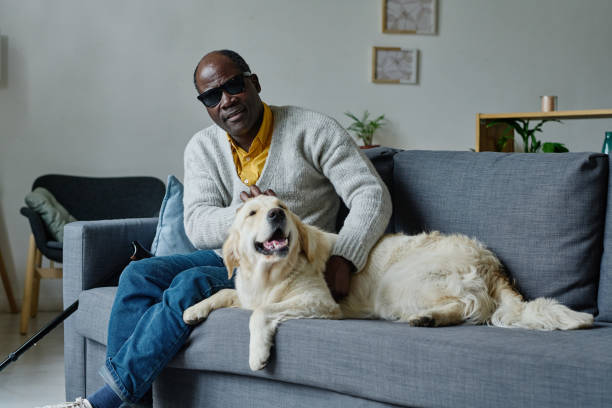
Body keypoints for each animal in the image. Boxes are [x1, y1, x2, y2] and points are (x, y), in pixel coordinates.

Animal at [182, 194, 592, 370]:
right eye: (252, 212)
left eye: (282, 208)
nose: (275, 215)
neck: (271, 273)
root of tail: (490, 260)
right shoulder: (247, 291)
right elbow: (226, 291)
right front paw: (194, 310)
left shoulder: (321, 303)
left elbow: (260, 313)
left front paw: (258, 354)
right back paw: (430, 318)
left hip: (397, 283)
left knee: (473, 307)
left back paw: (428, 317)